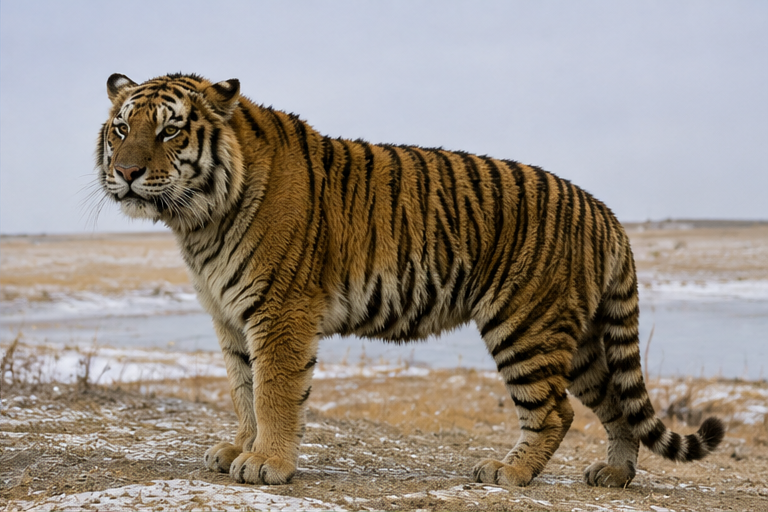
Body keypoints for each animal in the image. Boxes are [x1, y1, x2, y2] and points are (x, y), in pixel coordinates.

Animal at [97, 73, 724, 489]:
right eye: (122, 128)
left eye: (170, 132)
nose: (126, 173)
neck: (197, 220)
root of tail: (604, 210)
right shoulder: (230, 319)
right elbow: (243, 392)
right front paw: (239, 449)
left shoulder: (279, 314)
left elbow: (273, 393)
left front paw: (267, 462)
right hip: (585, 342)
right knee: (614, 406)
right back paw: (613, 473)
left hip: (526, 324)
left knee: (554, 411)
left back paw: (508, 471)